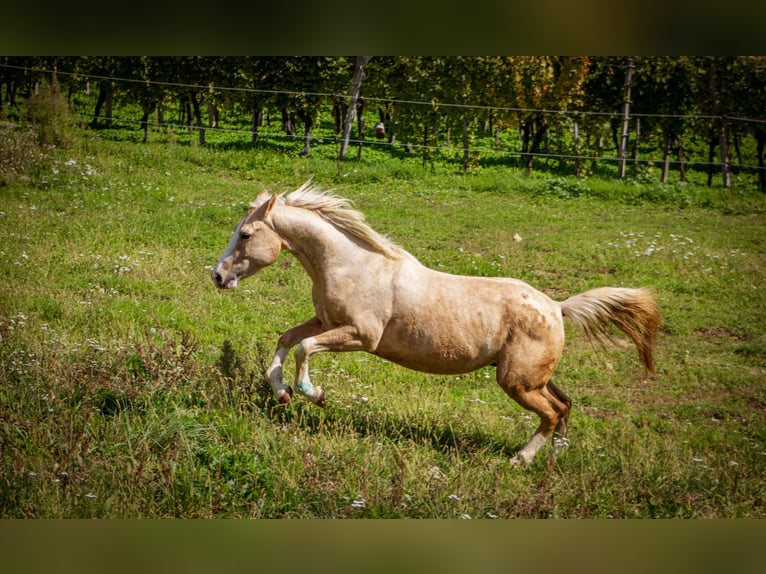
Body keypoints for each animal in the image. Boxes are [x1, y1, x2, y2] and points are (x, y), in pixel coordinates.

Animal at [212, 182, 660, 465]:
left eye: (246, 234)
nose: (217, 276)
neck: (353, 265)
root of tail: (557, 307)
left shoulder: (360, 335)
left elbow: (304, 348)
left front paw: (313, 393)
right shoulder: (325, 320)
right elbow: (287, 339)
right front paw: (282, 392)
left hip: (516, 381)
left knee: (550, 414)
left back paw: (520, 459)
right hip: (533, 377)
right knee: (564, 405)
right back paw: (555, 457)